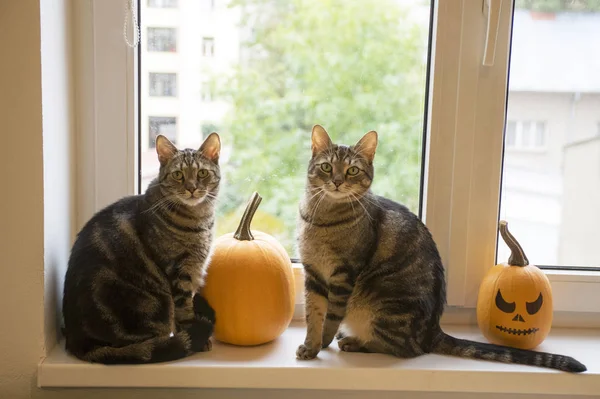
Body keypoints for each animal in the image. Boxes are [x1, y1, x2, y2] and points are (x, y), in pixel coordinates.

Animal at [62, 134, 221, 366]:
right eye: (178, 175)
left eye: (202, 173)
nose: (191, 188)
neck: (199, 218)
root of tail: (80, 342)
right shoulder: (180, 272)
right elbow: (184, 310)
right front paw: (197, 336)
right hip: (151, 306)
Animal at [296, 123, 584, 374]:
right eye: (326, 167)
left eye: (352, 171)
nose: (336, 181)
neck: (321, 219)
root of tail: (433, 330)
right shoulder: (314, 273)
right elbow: (314, 314)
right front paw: (311, 346)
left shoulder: (344, 274)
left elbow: (331, 316)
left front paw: (322, 342)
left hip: (386, 307)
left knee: (404, 348)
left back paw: (353, 341)